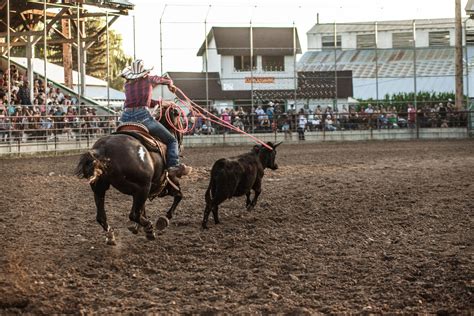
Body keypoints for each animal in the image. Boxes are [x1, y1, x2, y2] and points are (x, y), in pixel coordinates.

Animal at [75, 108, 184, 244]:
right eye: (180, 122)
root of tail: (103, 148)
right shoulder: (170, 181)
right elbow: (179, 195)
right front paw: (163, 220)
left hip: (100, 187)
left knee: (101, 217)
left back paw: (111, 235)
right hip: (142, 187)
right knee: (134, 214)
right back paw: (149, 229)